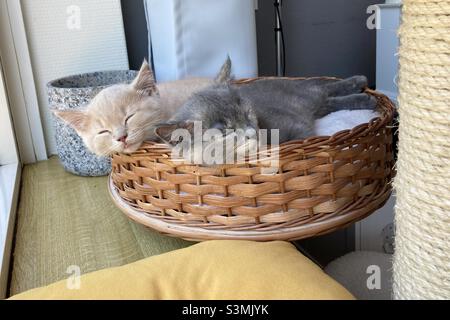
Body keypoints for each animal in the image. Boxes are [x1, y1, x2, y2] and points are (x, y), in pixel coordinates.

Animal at [155, 76, 376, 164]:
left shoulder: (296, 127)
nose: (252, 132)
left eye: (247, 114)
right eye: (226, 131)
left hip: (307, 97)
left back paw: (360, 85)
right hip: (312, 103)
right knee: (327, 100)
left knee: (324, 89)